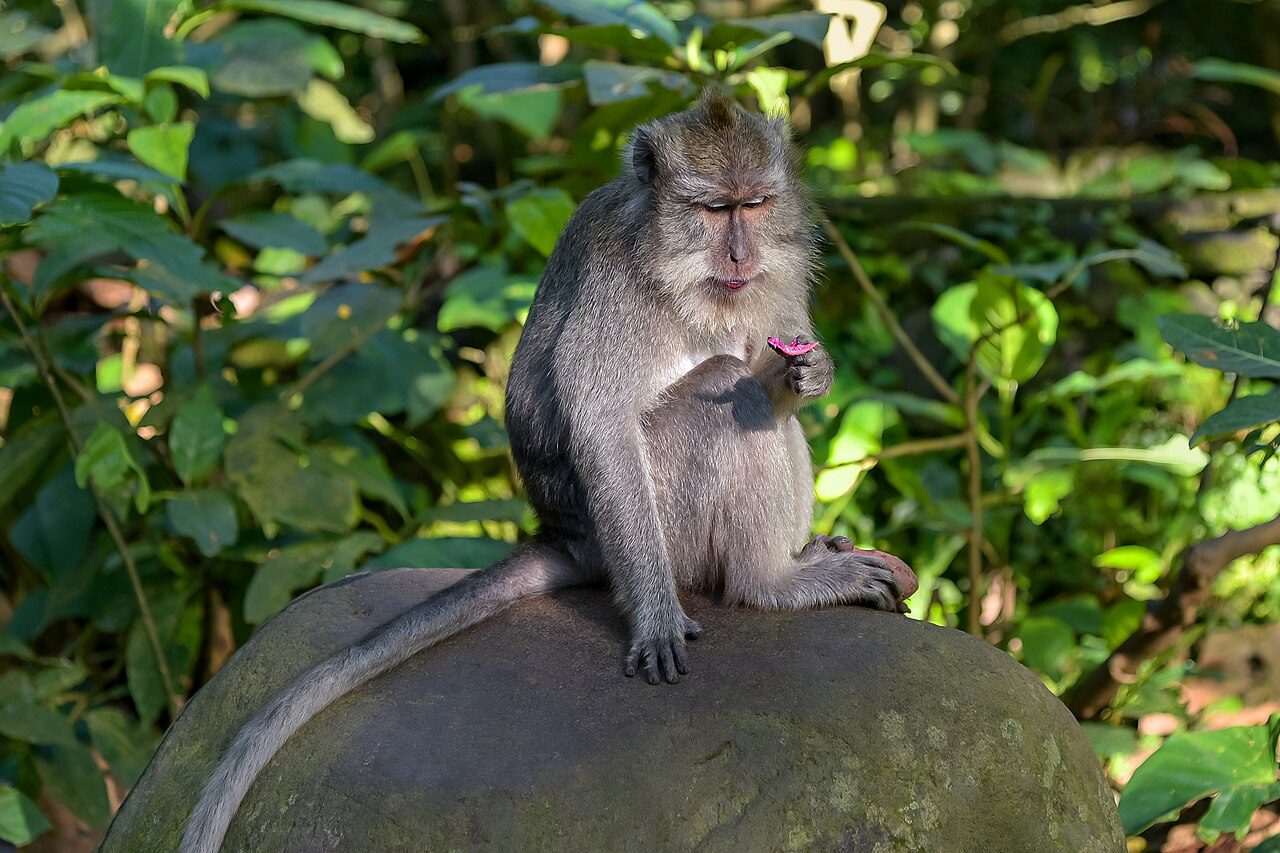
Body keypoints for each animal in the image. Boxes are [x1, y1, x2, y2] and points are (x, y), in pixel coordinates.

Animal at [180, 88, 906, 853]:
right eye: (713, 210)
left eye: (757, 203)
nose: (742, 252)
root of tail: (569, 536)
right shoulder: (617, 291)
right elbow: (604, 426)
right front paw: (655, 617)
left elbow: (775, 376)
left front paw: (810, 372)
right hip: (667, 526)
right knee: (722, 392)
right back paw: (769, 583)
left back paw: (803, 555)